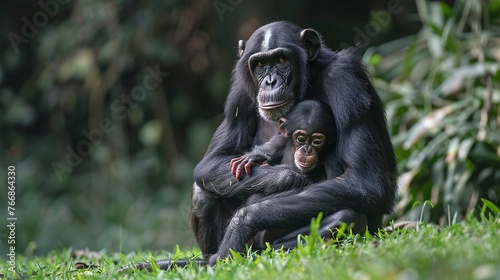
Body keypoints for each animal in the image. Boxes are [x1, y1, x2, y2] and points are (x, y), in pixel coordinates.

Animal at [189, 20, 396, 266]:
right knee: (203, 190)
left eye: (281, 60)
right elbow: (211, 162)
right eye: (260, 64)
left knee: (346, 216)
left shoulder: (346, 79)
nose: (270, 82)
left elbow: (364, 181)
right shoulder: (238, 95)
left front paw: (242, 222)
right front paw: (284, 175)